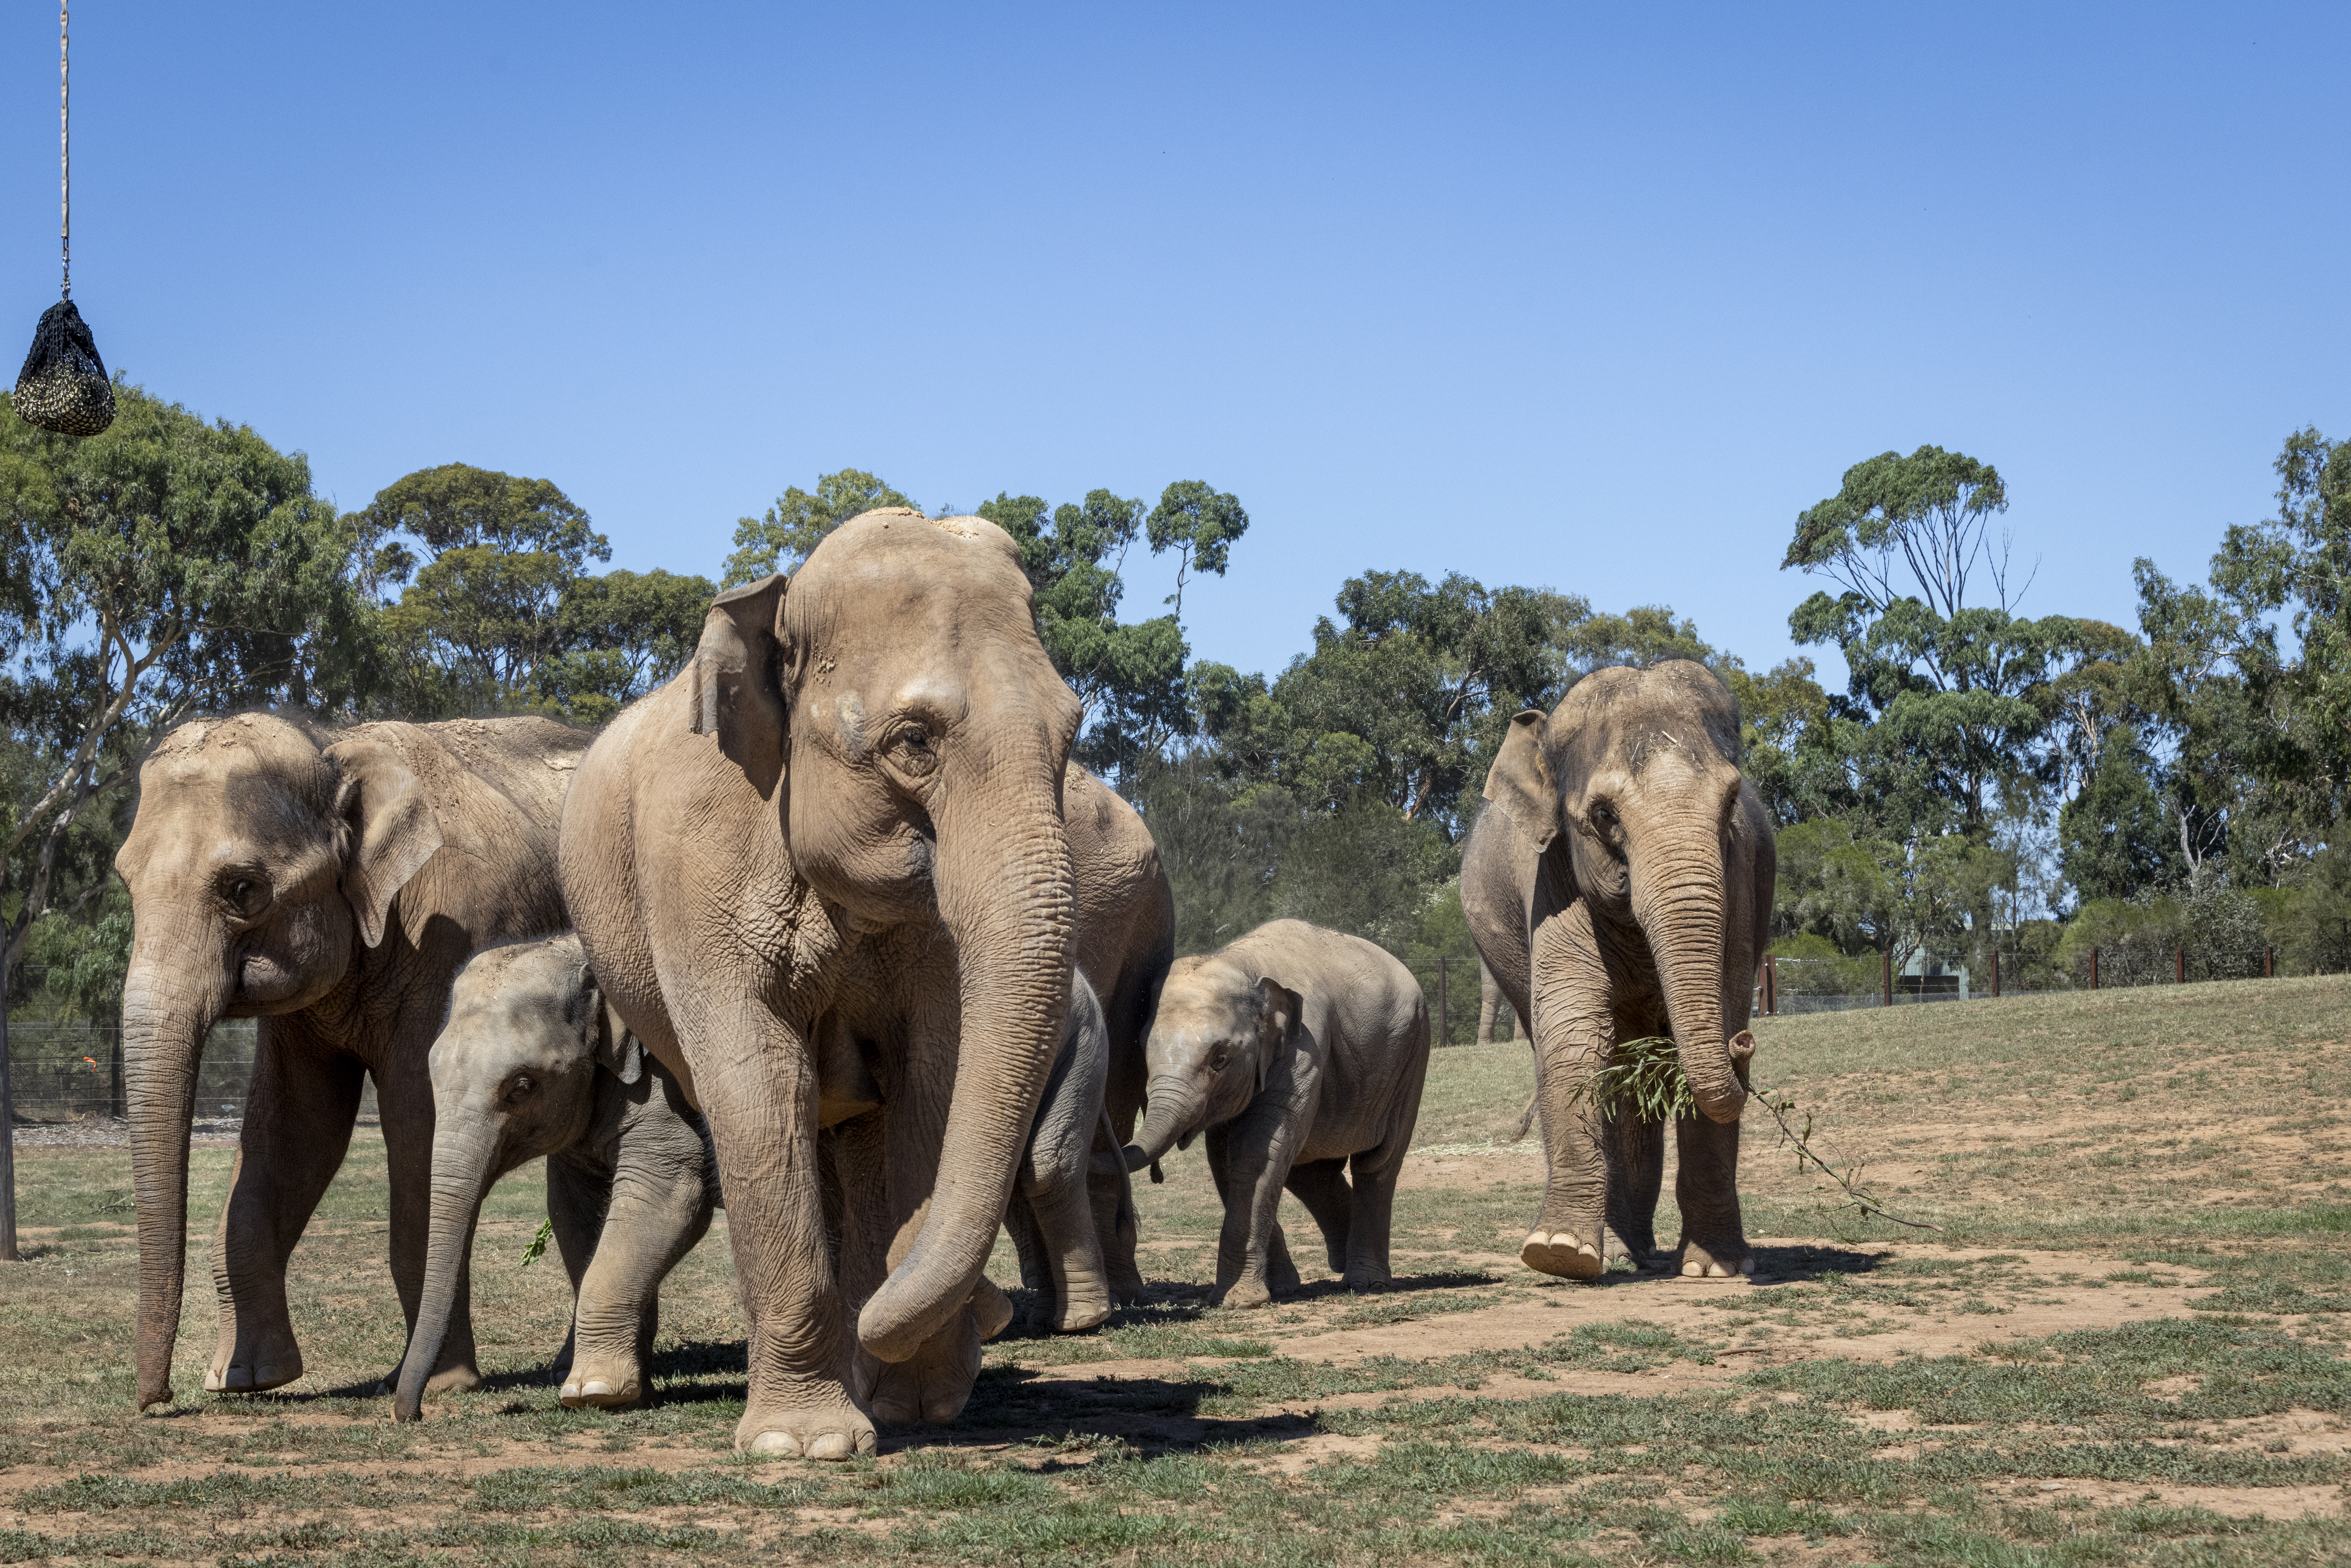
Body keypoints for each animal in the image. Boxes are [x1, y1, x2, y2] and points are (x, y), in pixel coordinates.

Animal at [113, 711, 588, 1411]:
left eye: (243, 890)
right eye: (125, 882)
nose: (158, 1399)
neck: (332, 748)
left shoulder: (453, 935)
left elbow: (418, 1125)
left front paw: (435, 1383)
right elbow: (296, 1131)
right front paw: (249, 1379)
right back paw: (569, 1369)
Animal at [392, 933, 718, 1421]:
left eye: (522, 1086)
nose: (412, 1414)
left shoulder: (668, 1086)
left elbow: (671, 1195)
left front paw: (594, 1391)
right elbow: (574, 1212)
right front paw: (635, 1395)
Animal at [560, 507, 1085, 1458]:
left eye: (1072, 733)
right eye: (914, 741)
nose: (998, 1311)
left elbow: (931, 1082)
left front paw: (910, 1406)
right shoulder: (693, 873)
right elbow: (761, 1086)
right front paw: (802, 1445)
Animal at [1121, 918, 1430, 1309]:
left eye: (1220, 1059)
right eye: (1142, 1050)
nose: (1157, 1175)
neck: (1242, 965)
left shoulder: (1304, 1051)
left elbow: (1256, 1155)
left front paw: (1237, 1301)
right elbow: (1227, 1160)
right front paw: (1278, 1290)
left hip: (1412, 1054)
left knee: (1378, 1163)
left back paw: (1366, 1282)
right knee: (1310, 1172)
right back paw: (1339, 1262)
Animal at [1466, 659, 1776, 1282]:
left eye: (1731, 802)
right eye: (1604, 816)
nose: (1744, 1042)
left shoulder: (1737, 887)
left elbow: (1720, 1003)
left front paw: (1717, 1268)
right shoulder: (1552, 881)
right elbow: (1571, 1035)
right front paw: (1559, 1253)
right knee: (1609, 1063)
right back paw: (1615, 1248)